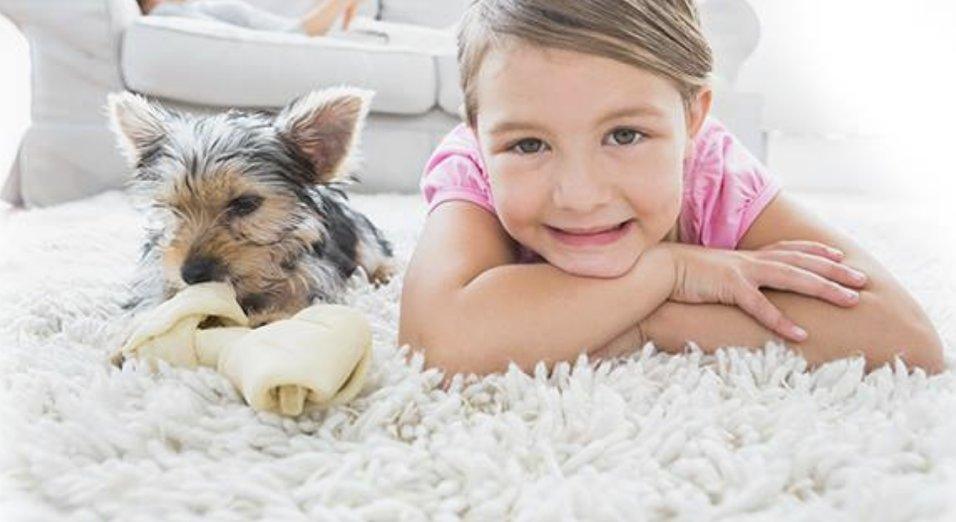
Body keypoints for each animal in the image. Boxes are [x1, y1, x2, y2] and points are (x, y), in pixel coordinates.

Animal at [108, 88, 396, 344]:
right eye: (173, 208)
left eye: (245, 204)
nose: (191, 274)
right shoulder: (158, 265)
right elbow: (153, 290)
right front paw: (134, 329)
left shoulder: (315, 272)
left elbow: (301, 294)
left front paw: (270, 318)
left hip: (362, 236)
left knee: (377, 255)